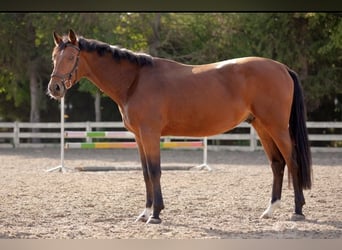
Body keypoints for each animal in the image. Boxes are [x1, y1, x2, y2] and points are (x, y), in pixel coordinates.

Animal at [48, 29, 312, 225]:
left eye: (70, 58)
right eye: (54, 57)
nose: (55, 89)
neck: (135, 80)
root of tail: (282, 68)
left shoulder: (150, 134)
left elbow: (155, 171)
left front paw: (155, 215)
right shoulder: (139, 137)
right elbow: (145, 172)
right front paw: (145, 212)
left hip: (277, 127)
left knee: (292, 161)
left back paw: (297, 211)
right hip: (262, 127)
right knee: (277, 164)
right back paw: (270, 210)